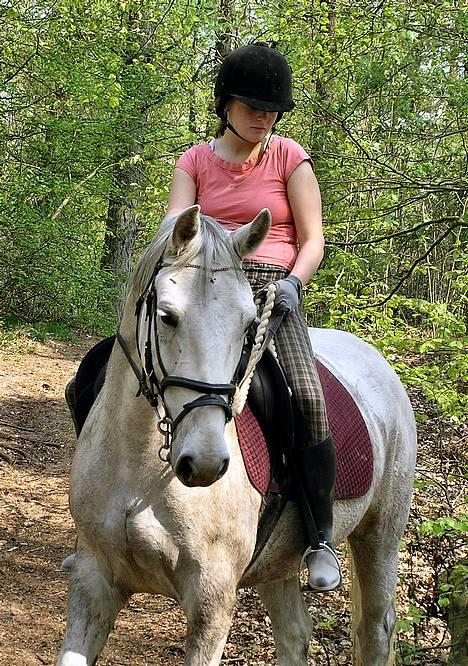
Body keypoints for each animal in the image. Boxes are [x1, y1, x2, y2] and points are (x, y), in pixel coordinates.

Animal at [57, 206, 416, 664]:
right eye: (167, 316)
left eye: (249, 325)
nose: (205, 462)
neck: (140, 468)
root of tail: (380, 363)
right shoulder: (94, 583)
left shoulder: (211, 604)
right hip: (277, 562)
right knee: (295, 632)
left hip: (380, 535)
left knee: (374, 628)